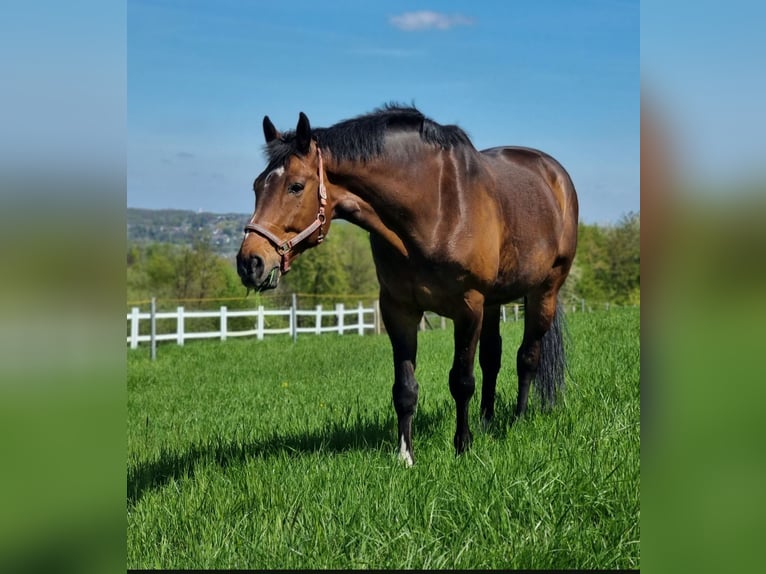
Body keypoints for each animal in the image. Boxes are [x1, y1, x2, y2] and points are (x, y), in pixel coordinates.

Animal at [237, 105, 578, 465]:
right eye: (257, 186)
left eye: (296, 186)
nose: (250, 262)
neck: (434, 208)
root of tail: (553, 173)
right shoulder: (398, 309)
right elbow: (404, 388)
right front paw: (405, 455)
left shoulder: (468, 306)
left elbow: (462, 381)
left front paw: (462, 447)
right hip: (493, 301)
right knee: (492, 358)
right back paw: (487, 421)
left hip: (543, 291)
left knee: (527, 357)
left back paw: (517, 419)